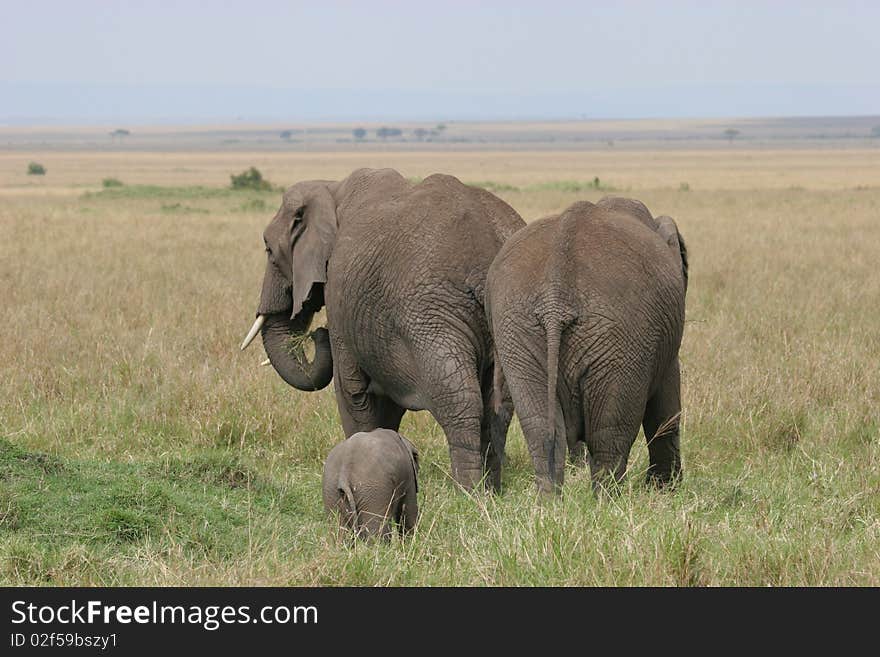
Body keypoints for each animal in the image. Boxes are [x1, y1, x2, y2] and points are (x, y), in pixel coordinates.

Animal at [241, 168, 524, 486]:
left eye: (268, 250)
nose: (318, 334)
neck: (331, 188)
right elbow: (387, 400)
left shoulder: (341, 294)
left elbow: (351, 389)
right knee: (500, 405)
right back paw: (492, 489)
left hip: (431, 316)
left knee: (460, 400)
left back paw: (468, 490)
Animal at [488, 195, 688, 492]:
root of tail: (556, 293)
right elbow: (666, 404)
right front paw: (665, 491)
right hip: (622, 336)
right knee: (608, 432)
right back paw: (609, 499)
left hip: (517, 330)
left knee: (541, 429)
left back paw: (550, 501)